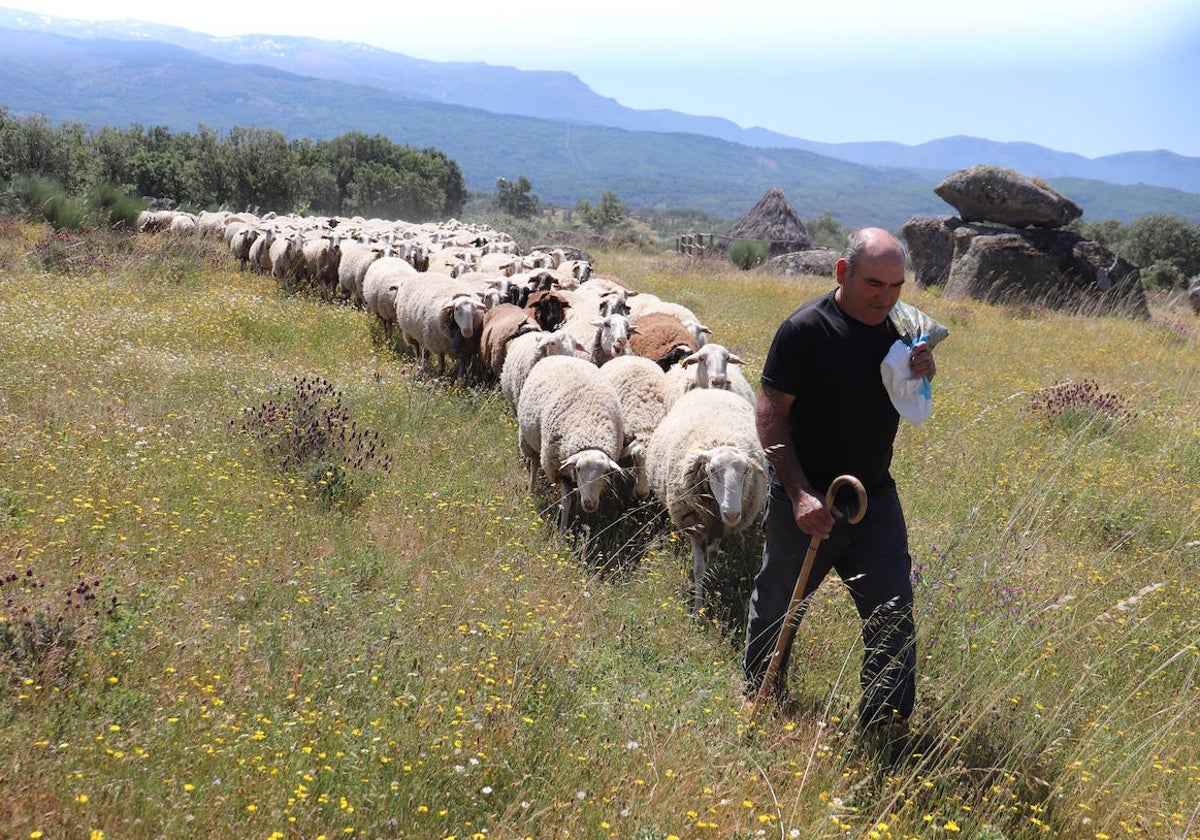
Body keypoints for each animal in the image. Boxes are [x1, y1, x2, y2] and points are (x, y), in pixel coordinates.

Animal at [518, 355, 628, 530]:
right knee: (534, 464)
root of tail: (560, 356)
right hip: (529, 440)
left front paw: (586, 522)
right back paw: (531, 490)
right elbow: (566, 501)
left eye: (604, 472)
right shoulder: (558, 470)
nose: (589, 504)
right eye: (578, 468)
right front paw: (562, 531)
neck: (590, 430)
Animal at [648, 386, 768, 609]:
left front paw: (711, 571)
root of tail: (712, 388)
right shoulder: (693, 526)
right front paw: (697, 608)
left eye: (747, 471)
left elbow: (711, 555)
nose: (732, 514)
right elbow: (698, 570)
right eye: (711, 470)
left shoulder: (719, 528)